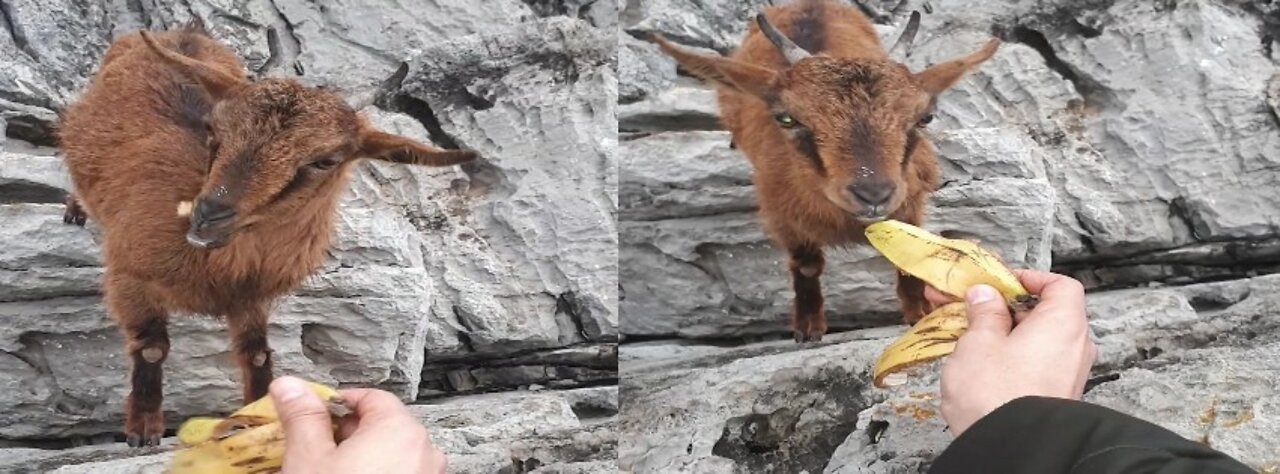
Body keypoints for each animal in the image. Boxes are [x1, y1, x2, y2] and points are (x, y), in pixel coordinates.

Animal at [56, 21, 476, 443]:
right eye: (213, 130)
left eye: (325, 161)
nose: (207, 216)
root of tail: (183, 32)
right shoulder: (130, 273)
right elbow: (152, 348)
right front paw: (143, 429)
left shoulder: (251, 297)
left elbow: (256, 354)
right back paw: (75, 209)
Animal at [660, 0, 998, 340]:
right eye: (786, 119)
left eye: (925, 118)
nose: (873, 193)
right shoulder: (782, 215)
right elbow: (806, 264)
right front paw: (808, 328)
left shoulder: (909, 201)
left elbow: (908, 255)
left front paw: (920, 312)